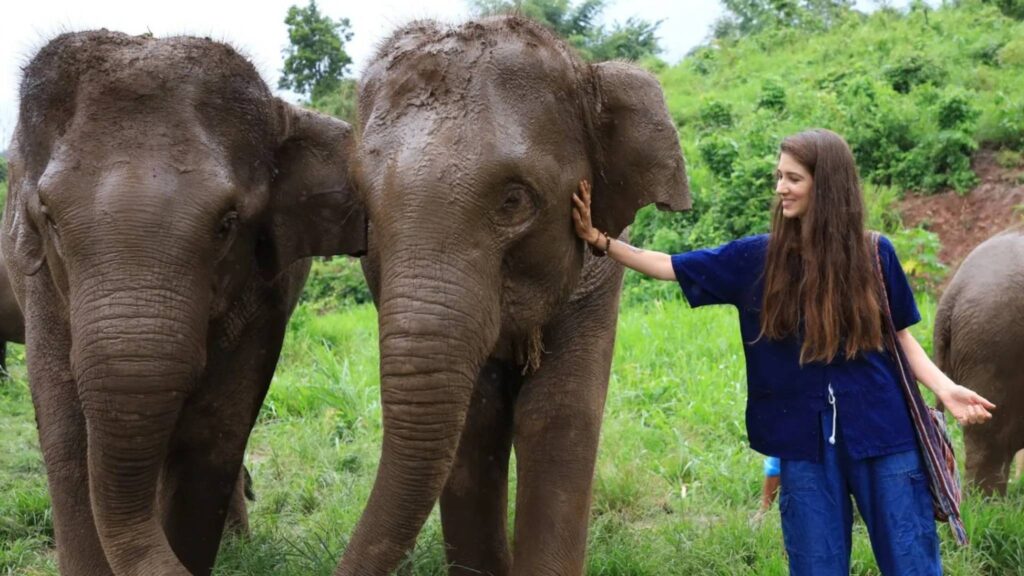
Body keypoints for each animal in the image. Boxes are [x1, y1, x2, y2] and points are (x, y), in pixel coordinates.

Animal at [4, 31, 365, 575]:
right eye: (48, 217)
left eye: (227, 223)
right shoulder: (40, 276)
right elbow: (67, 435)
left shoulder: (265, 290)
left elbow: (213, 435)